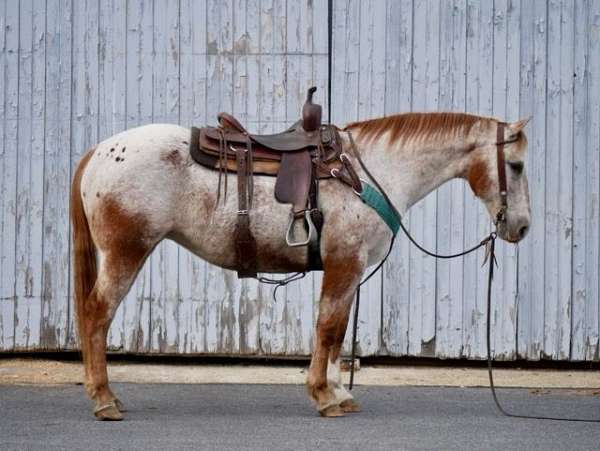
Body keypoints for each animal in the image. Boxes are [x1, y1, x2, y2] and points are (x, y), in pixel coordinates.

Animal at [69, 110, 528, 420]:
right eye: (517, 165)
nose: (521, 227)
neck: (370, 173)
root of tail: (99, 152)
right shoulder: (344, 264)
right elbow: (327, 328)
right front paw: (324, 396)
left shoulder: (350, 271)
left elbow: (337, 333)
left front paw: (340, 393)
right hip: (126, 253)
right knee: (96, 315)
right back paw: (104, 400)